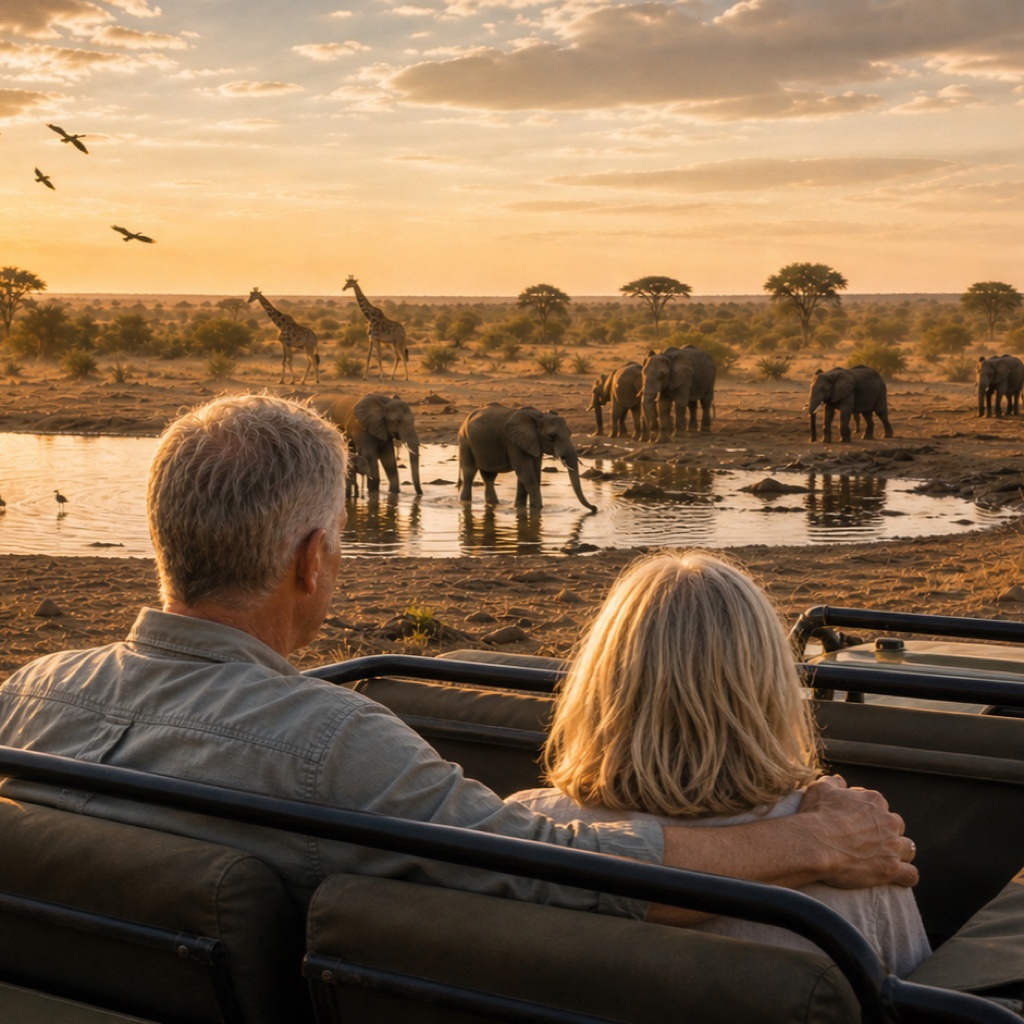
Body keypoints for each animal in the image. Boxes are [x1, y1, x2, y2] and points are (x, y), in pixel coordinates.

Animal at [457, 403, 597, 512]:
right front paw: (537, 509)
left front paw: (520, 507)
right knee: (469, 472)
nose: (594, 508)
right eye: (551, 437)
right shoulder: (513, 442)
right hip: (465, 440)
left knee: (489, 477)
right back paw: (465, 502)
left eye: (570, 433)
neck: (538, 417)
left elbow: (532, 472)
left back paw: (494, 504)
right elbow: (526, 472)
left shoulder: (534, 443)